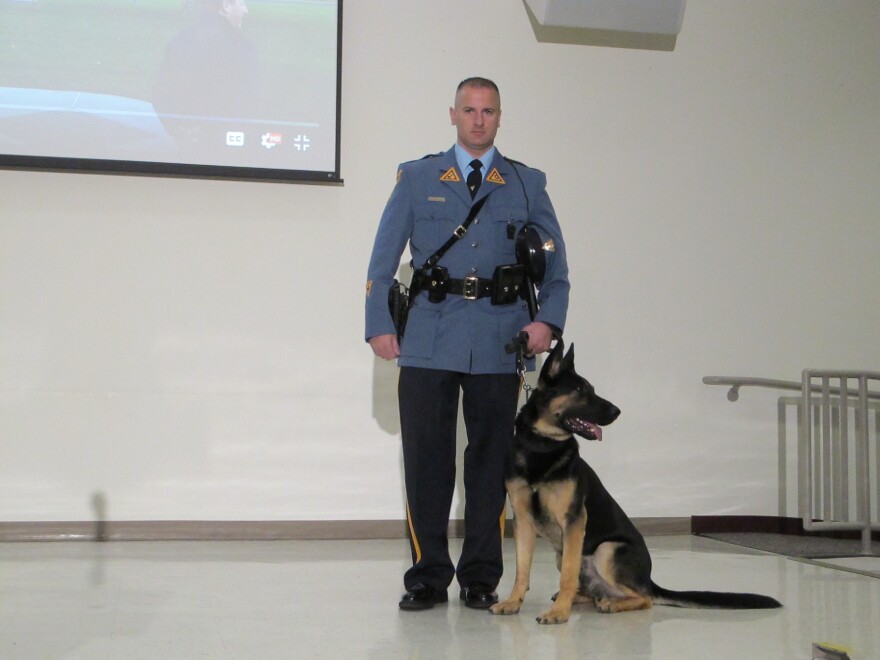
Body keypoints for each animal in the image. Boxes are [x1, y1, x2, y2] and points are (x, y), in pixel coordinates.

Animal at [488, 340, 784, 624]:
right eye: (580, 390)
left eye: (591, 389)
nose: (617, 411)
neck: (542, 446)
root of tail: (649, 581)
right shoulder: (524, 523)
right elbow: (522, 571)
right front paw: (513, 603)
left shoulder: (574, 521)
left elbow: (568, 577)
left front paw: (559, 613)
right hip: (565, 553)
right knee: (593, 590)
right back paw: (585, 598)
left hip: (606, 550)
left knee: (643, 598)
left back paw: (606, 603)